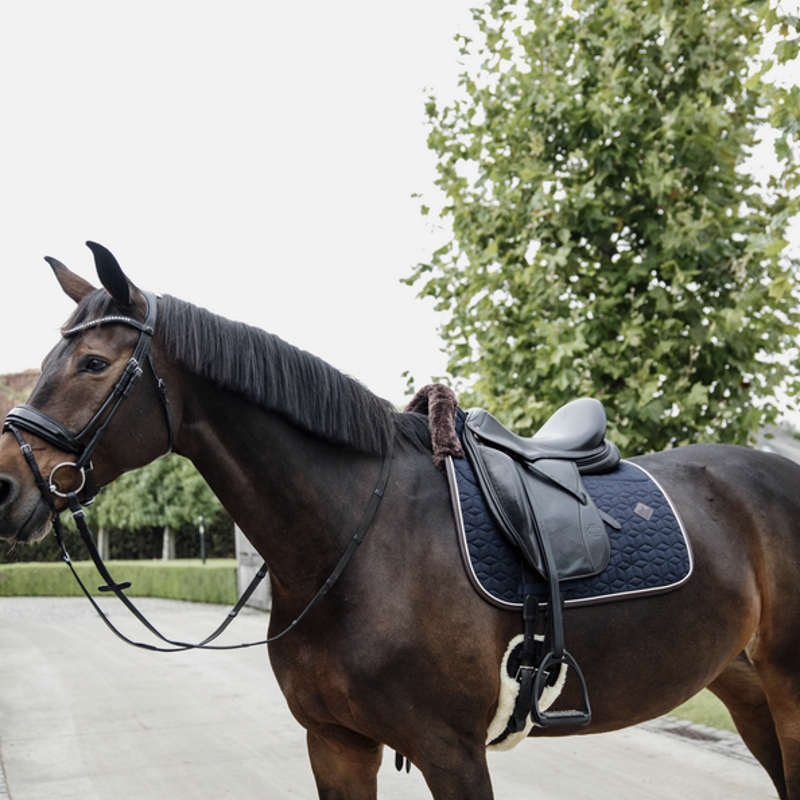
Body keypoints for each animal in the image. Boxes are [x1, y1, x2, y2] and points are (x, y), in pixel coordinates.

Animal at [0, 244, 796, 800]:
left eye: (94, 362)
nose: (6, 484)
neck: (357, 544)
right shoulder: (335, 743)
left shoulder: (453, 752)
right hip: (745, 686)